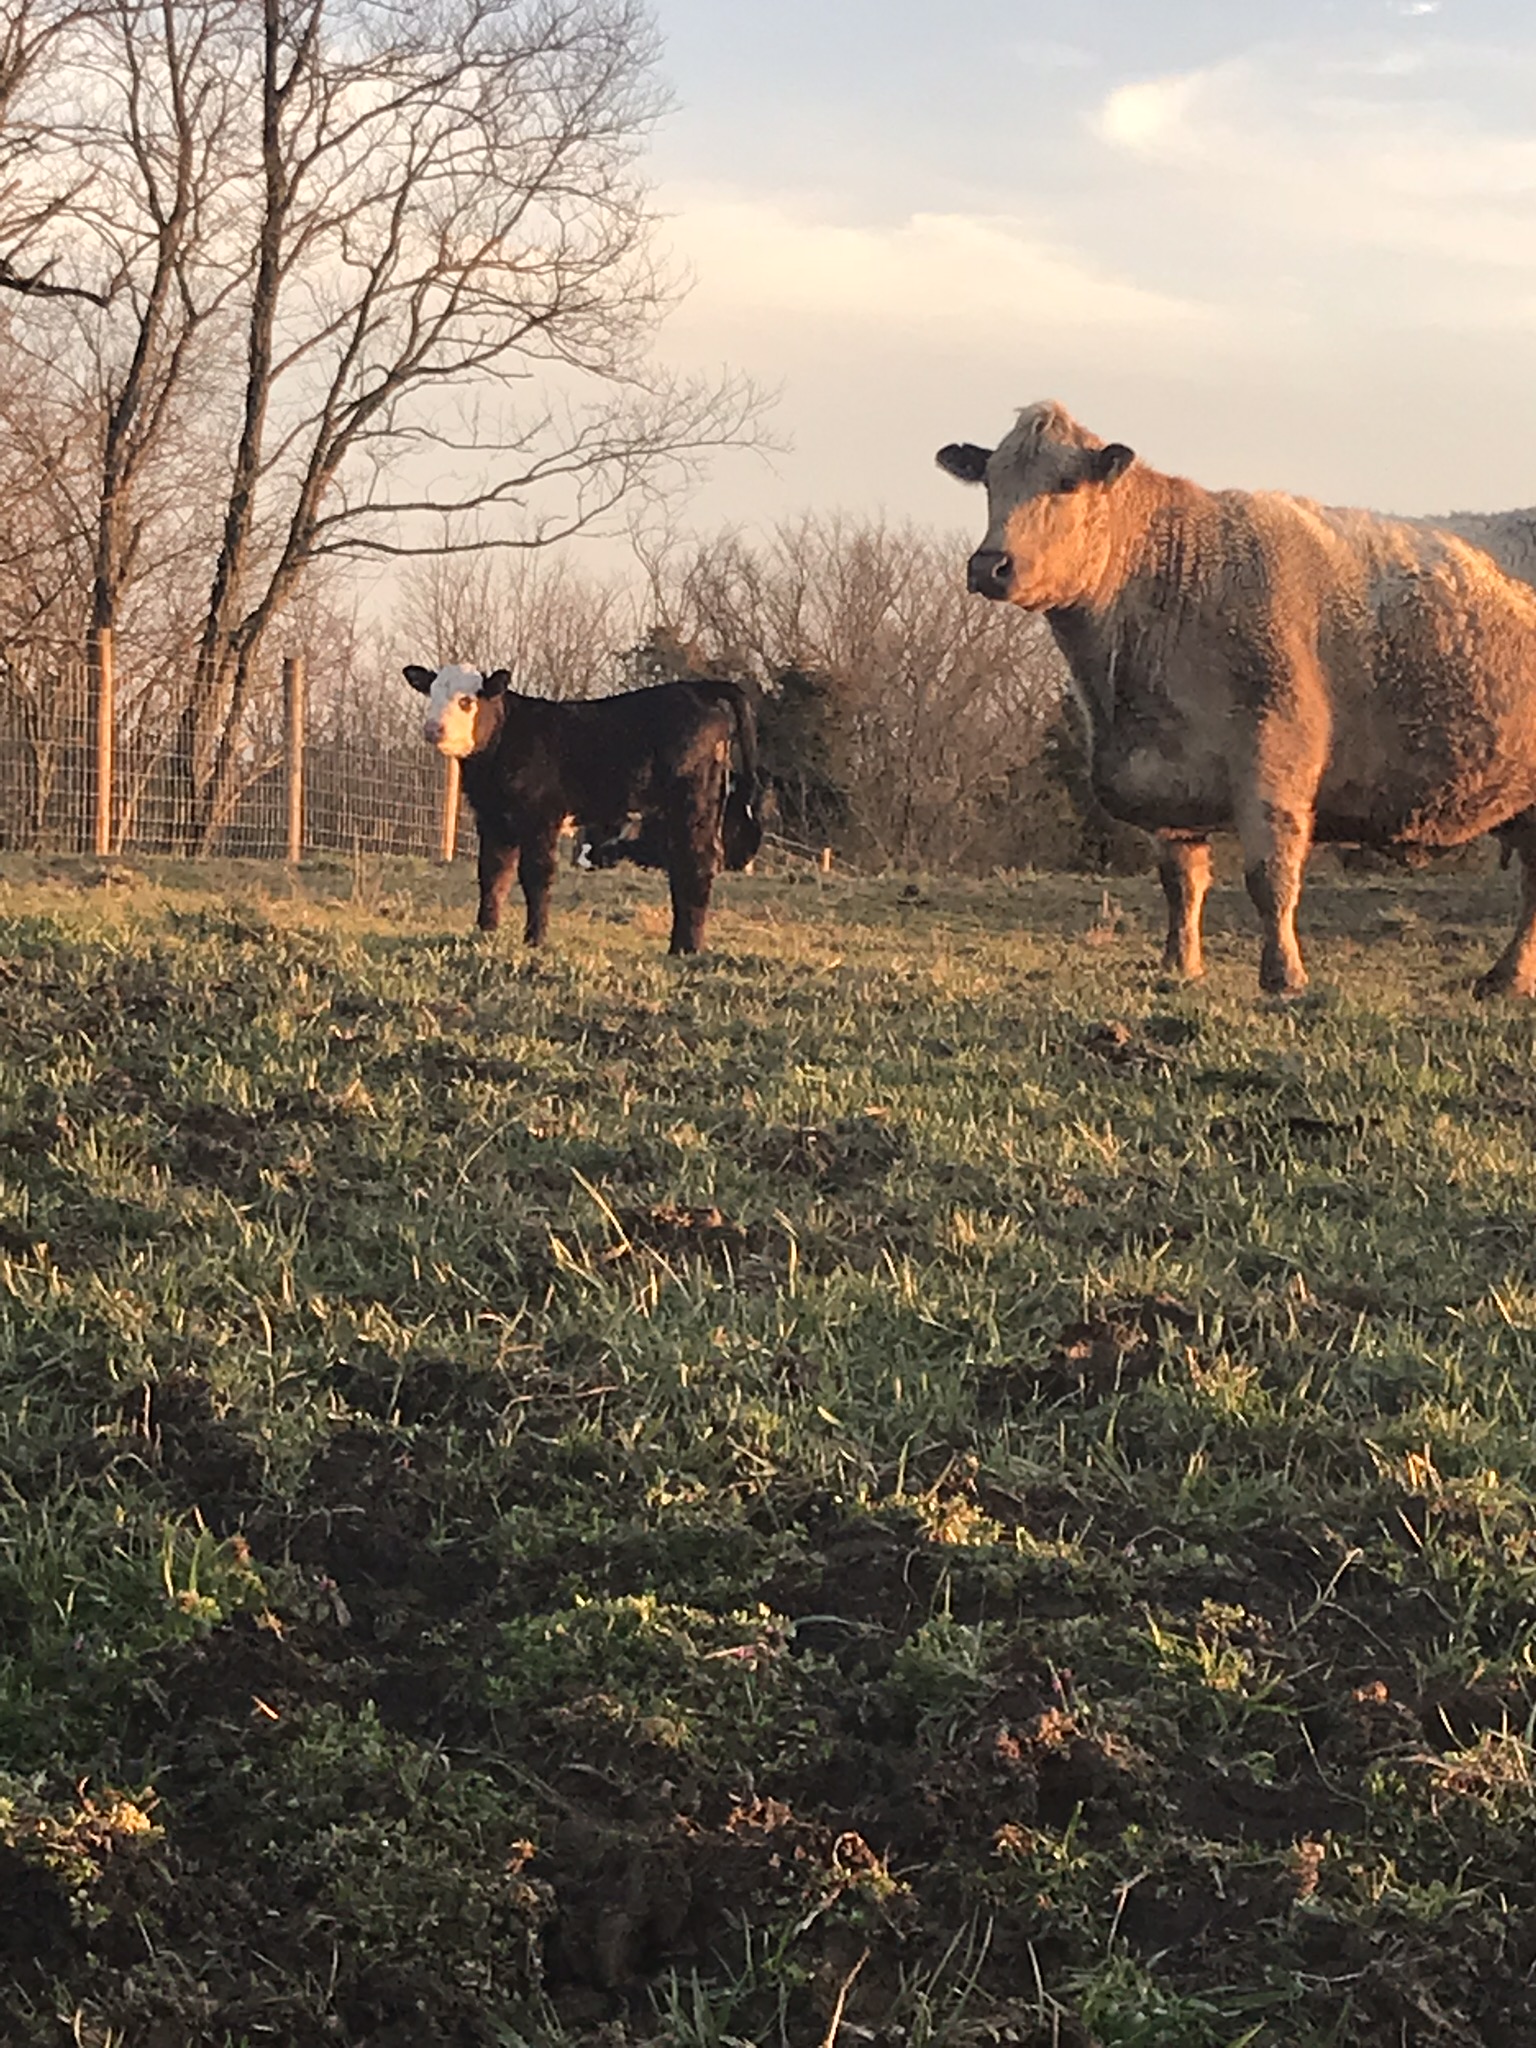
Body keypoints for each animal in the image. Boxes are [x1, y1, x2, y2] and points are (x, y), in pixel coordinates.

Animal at [404, 665, 761, 954]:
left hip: (694, 805)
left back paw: (688, 948)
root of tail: (697, 689)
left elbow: (536, 876)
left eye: (466, 701)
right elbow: (493, 876)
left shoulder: (541, 818)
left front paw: (535, 940)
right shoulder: (494, 821)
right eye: (431, 694)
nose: (432, 728)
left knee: (697, 863)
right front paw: (485, 933)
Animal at [937, 403, 1536, 998]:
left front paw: (1283, 975)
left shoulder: (1274, 761)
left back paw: (1506, 978)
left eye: (1065, 483)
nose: (989, 565)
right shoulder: (1171, 782)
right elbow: (1180, 881)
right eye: (990, 482)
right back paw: (1506, 979)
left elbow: (1270, 877)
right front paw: (1180, 964)